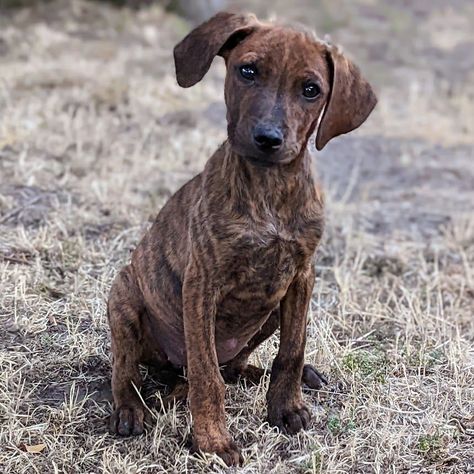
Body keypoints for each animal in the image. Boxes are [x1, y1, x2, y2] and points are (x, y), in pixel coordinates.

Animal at [107, 11, 378, 466]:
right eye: (247, 71)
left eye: (311, 90)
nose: (268, 138)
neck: (268, 189)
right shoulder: (201, 283)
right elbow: (206, 375)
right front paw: (213, 441)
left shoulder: (301, 277)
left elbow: (292, 350)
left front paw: (286, 407)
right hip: (124, 295)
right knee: (129, 368)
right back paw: (129, 409)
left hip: (268, 313)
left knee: (233, 366)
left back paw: (265, 374)